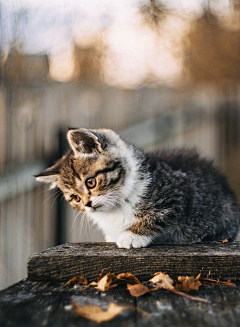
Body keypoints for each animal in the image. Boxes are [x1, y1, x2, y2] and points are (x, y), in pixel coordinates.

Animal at [34, 128, 239, 249]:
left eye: (91, 182)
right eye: (75, 197)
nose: (87, 204)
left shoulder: (180, 190)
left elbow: (159, 215)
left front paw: (133, 235)